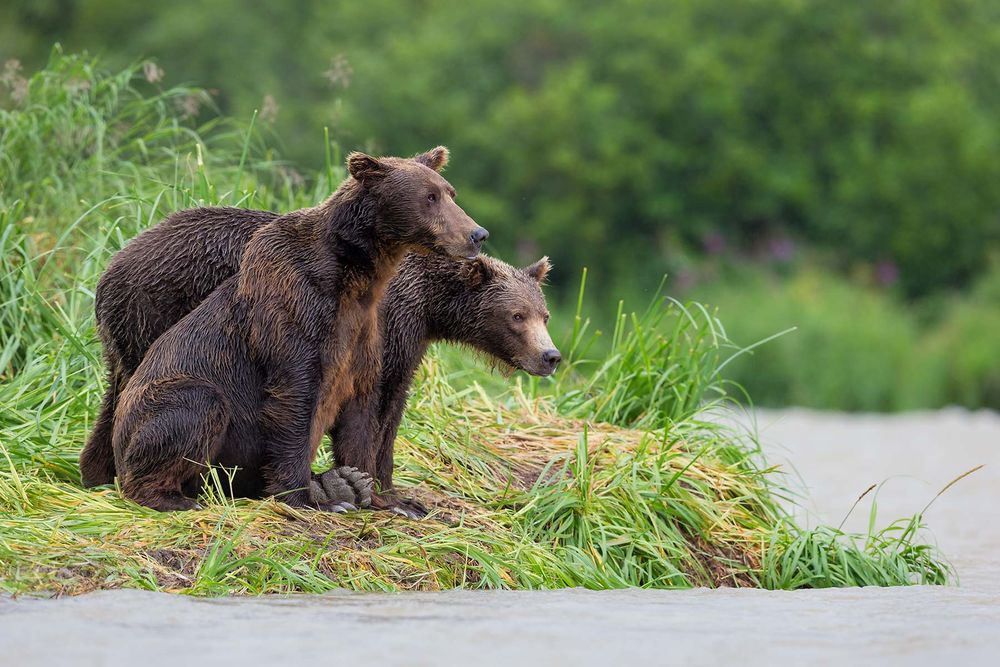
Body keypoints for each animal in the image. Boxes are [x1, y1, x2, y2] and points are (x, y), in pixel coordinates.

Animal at [107, 146, 488, 511]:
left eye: (450, 192)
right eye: (429, 197)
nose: (477, 234)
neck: (356, 277)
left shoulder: (364, 330)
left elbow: (362, 410)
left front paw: (389, 499)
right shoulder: (296, 311)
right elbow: (295, 399)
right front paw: (310, 498)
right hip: (158, 401)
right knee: (196, 405)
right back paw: (172, 497)